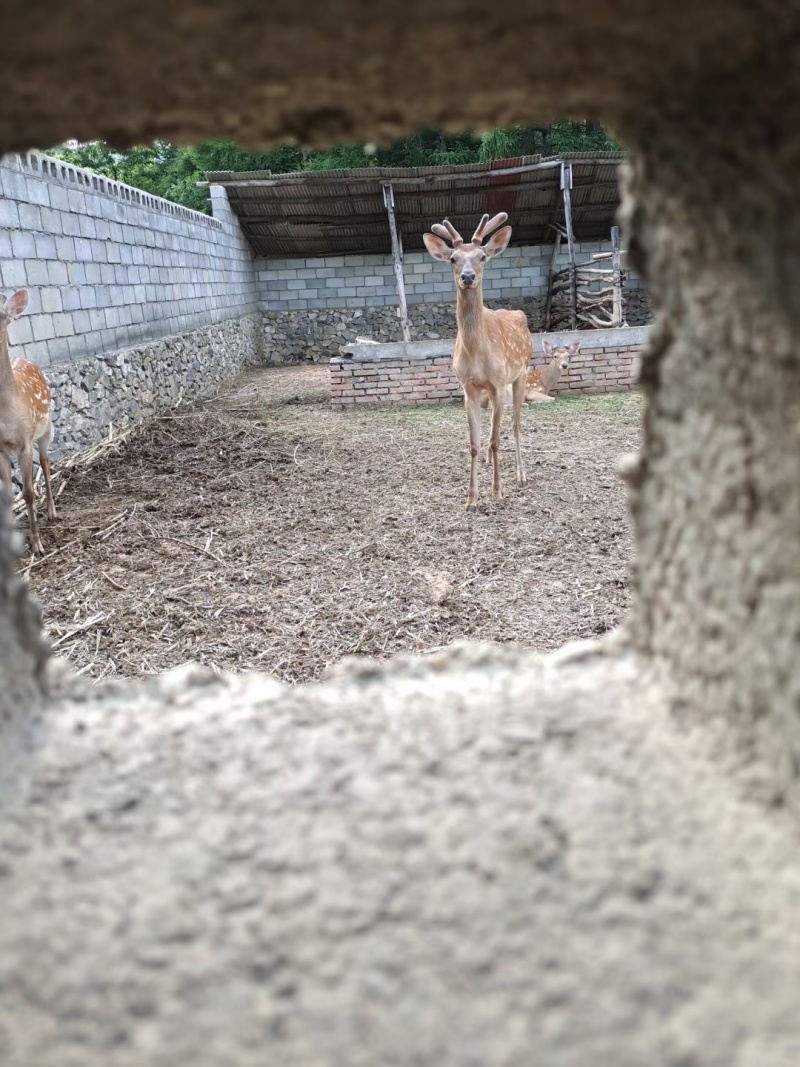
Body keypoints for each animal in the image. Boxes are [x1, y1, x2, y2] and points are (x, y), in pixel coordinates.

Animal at [423, 212, 531, 510]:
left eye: (482, 256)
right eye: (453, 258)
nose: (468, 276)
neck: (476, 353)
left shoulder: (498, 382)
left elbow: (495, 440)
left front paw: (496, 491)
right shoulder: (469, 387)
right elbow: (474, 443)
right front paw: (471, 497)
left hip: (521, 374)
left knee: (516, 426)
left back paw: (521, 475)